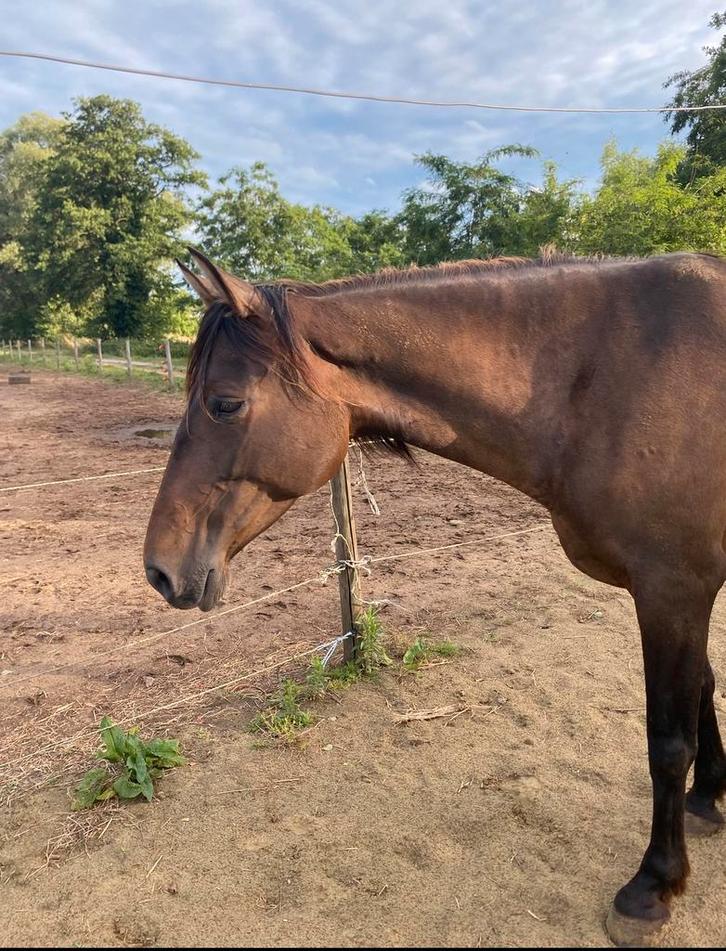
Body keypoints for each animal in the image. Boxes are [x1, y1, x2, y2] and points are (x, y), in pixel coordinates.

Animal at [144, 247, 726, 946]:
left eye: (225, 404)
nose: (159, 570)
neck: (619, 374)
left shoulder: (673, 588)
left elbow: (669, 741)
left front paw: (652, 887)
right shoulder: (681, 592)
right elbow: (704, 693)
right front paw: (709, 799)